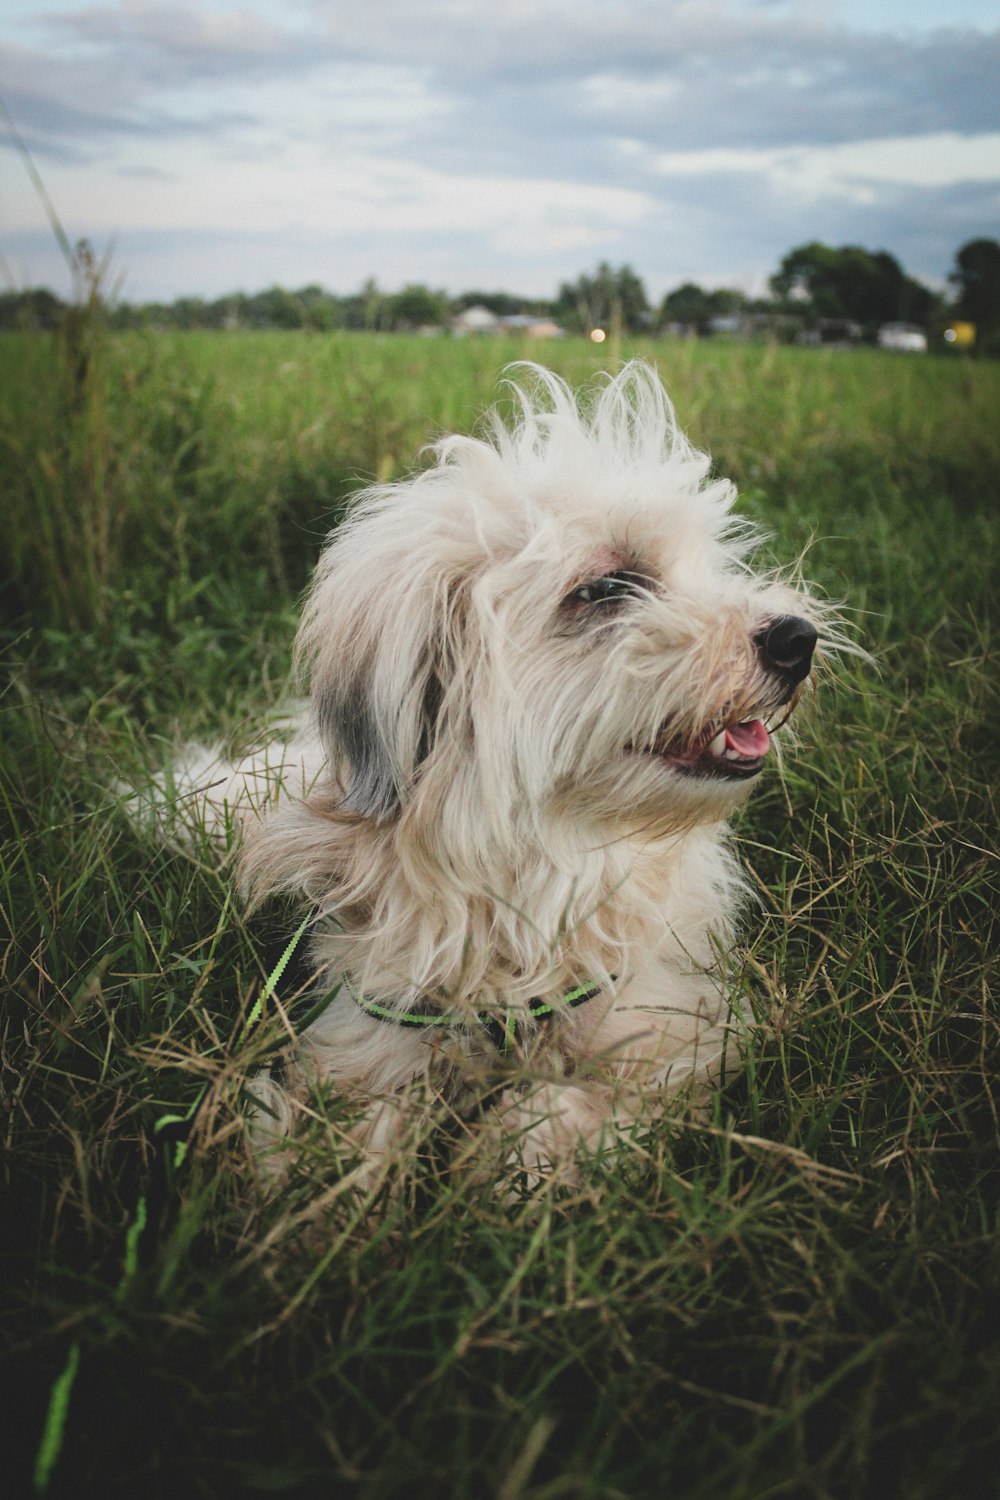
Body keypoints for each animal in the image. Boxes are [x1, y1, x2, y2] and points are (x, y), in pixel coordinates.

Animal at [152, 366, 833, 1182]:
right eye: (608, 588)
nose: (798, 637)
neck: (534, 867)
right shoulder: (372, 1025)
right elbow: (345, 1130)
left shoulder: (672, 1030)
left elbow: (576, 1108)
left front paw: (504, 1161)